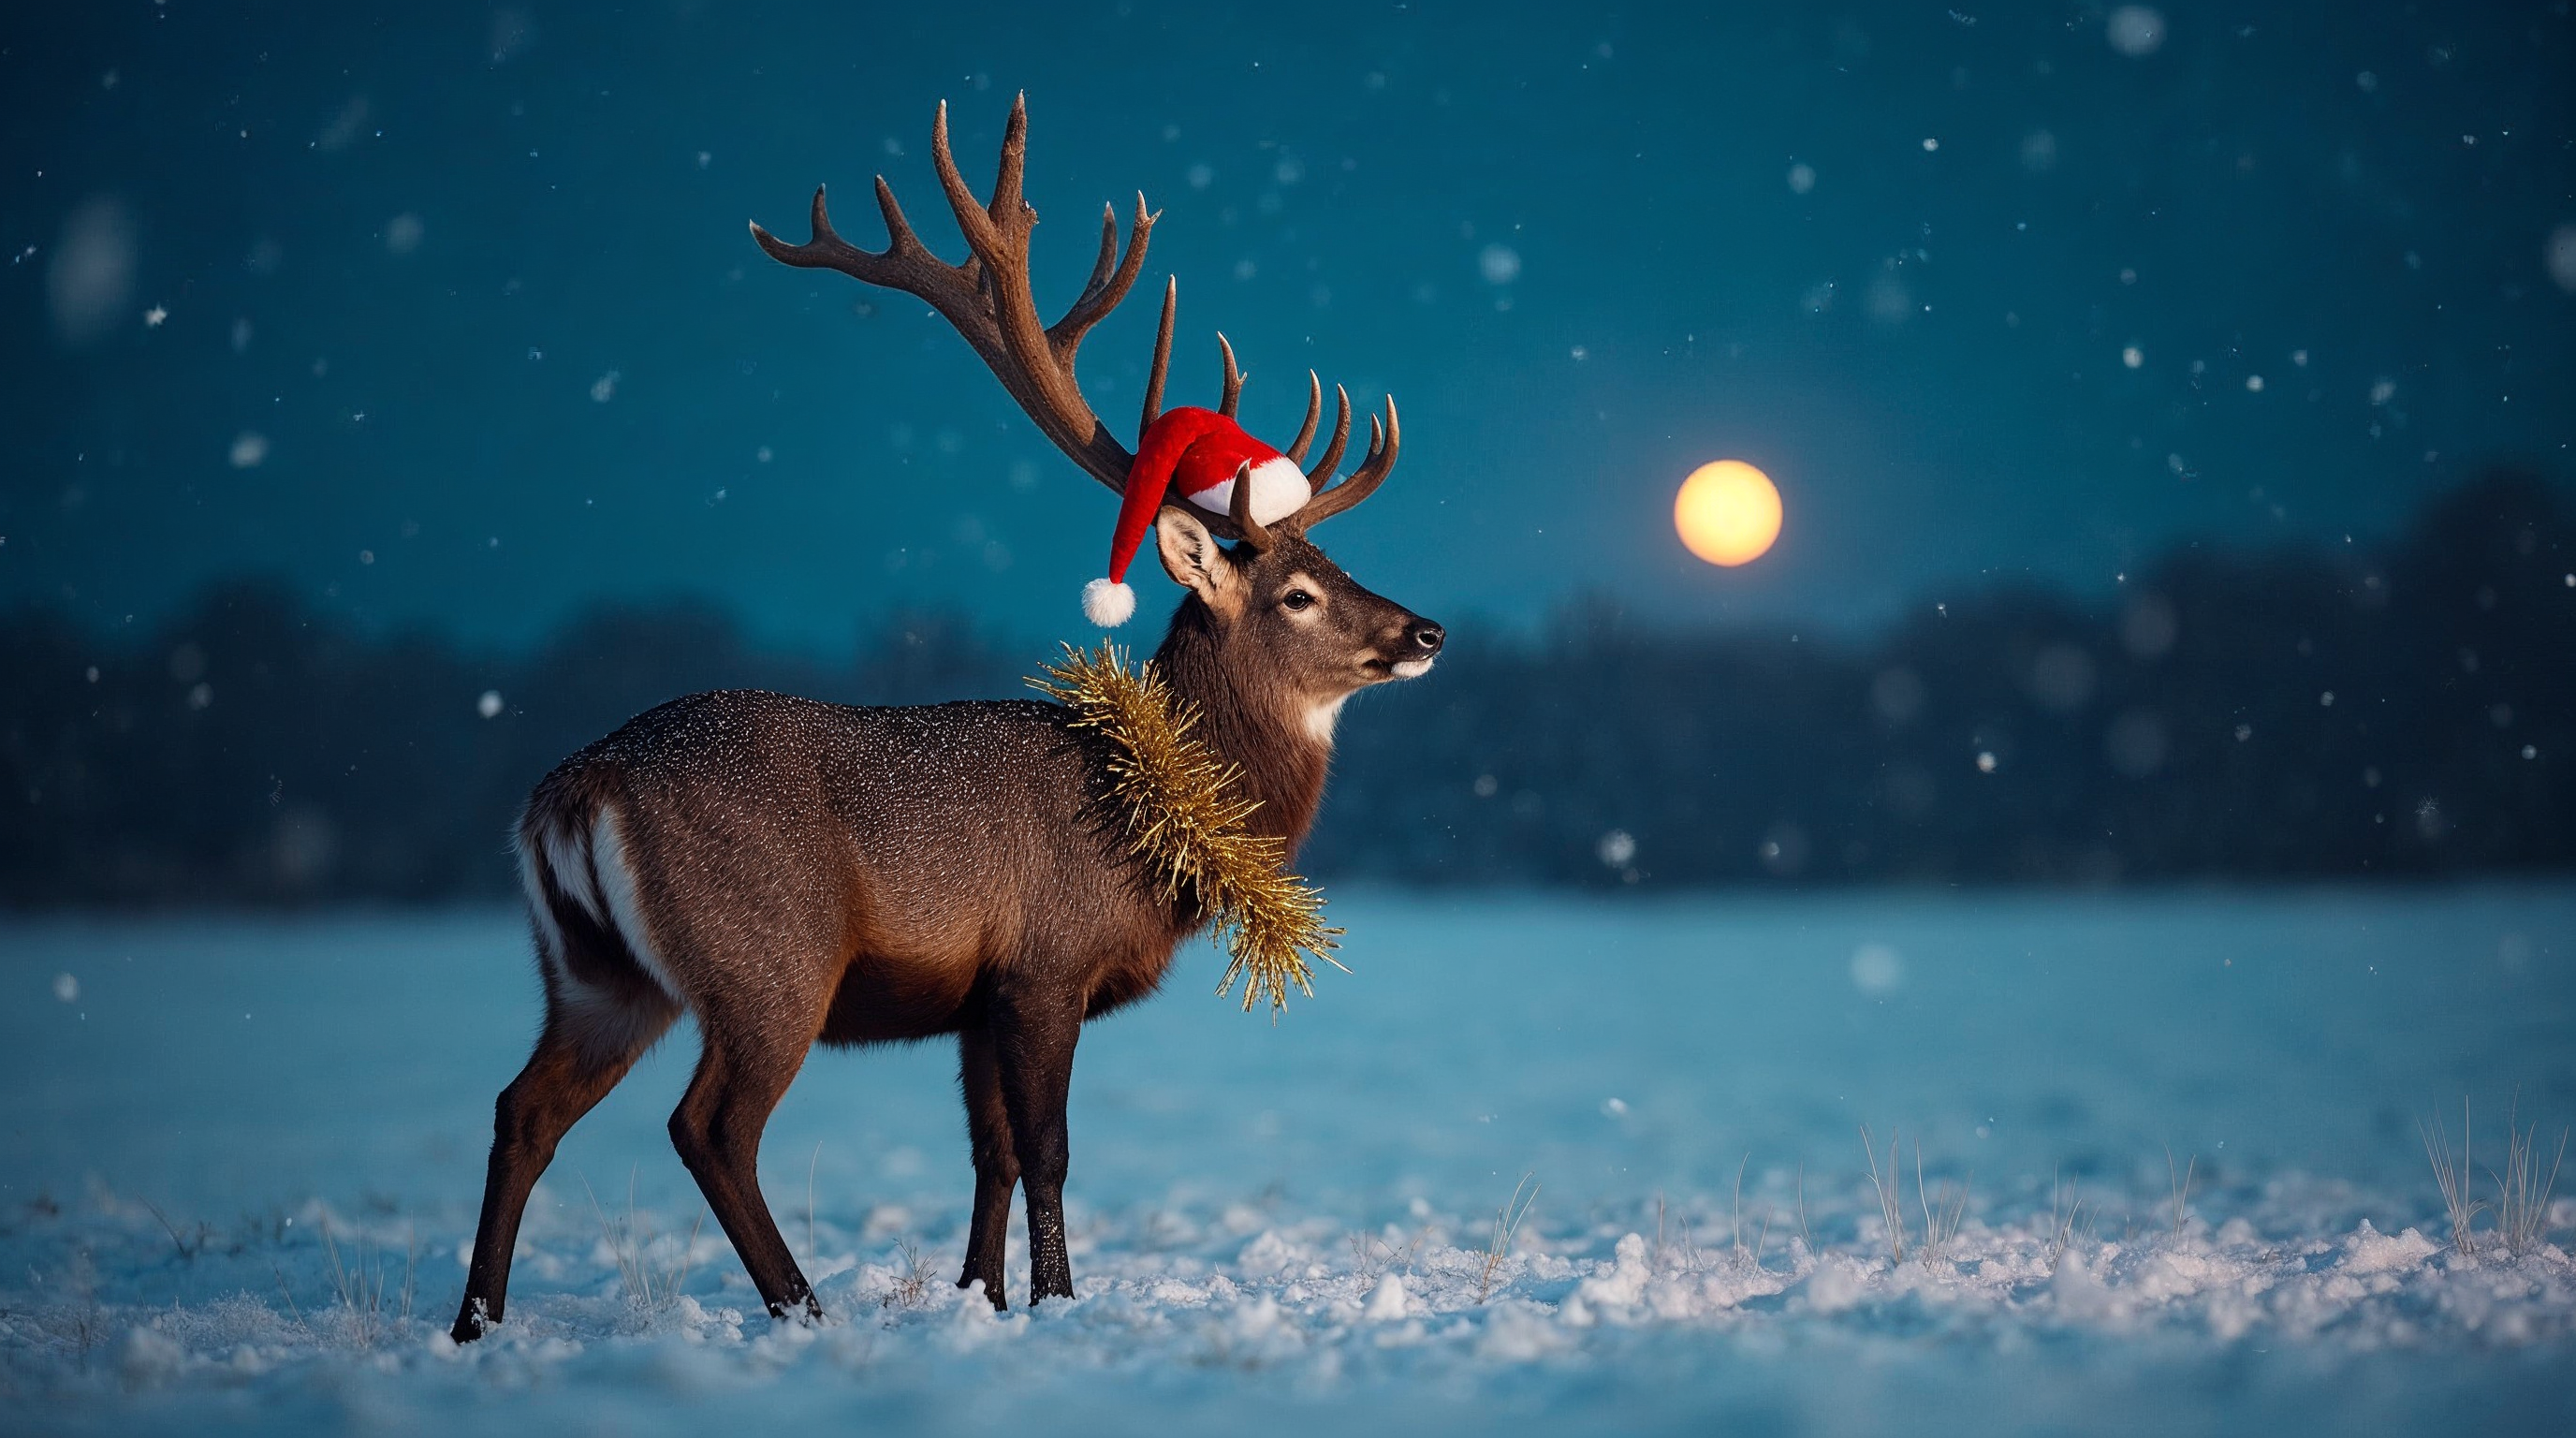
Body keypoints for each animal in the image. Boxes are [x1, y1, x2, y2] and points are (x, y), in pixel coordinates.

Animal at [448, 96, 1442, 1343]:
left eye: (1342, 565)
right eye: (1297, 594)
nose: (1426, 631)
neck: (1153, 806)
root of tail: (575, 792)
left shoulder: (977, 999)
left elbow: (991, 1155)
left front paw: (983, 1298)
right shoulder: (1046, 962)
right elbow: (1050, 1151)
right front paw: (1059, 1303)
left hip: (593, 975)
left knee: (521, 1107)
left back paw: (474, 1328)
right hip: (765, 956)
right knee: (709, 1127)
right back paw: (803, 1310)